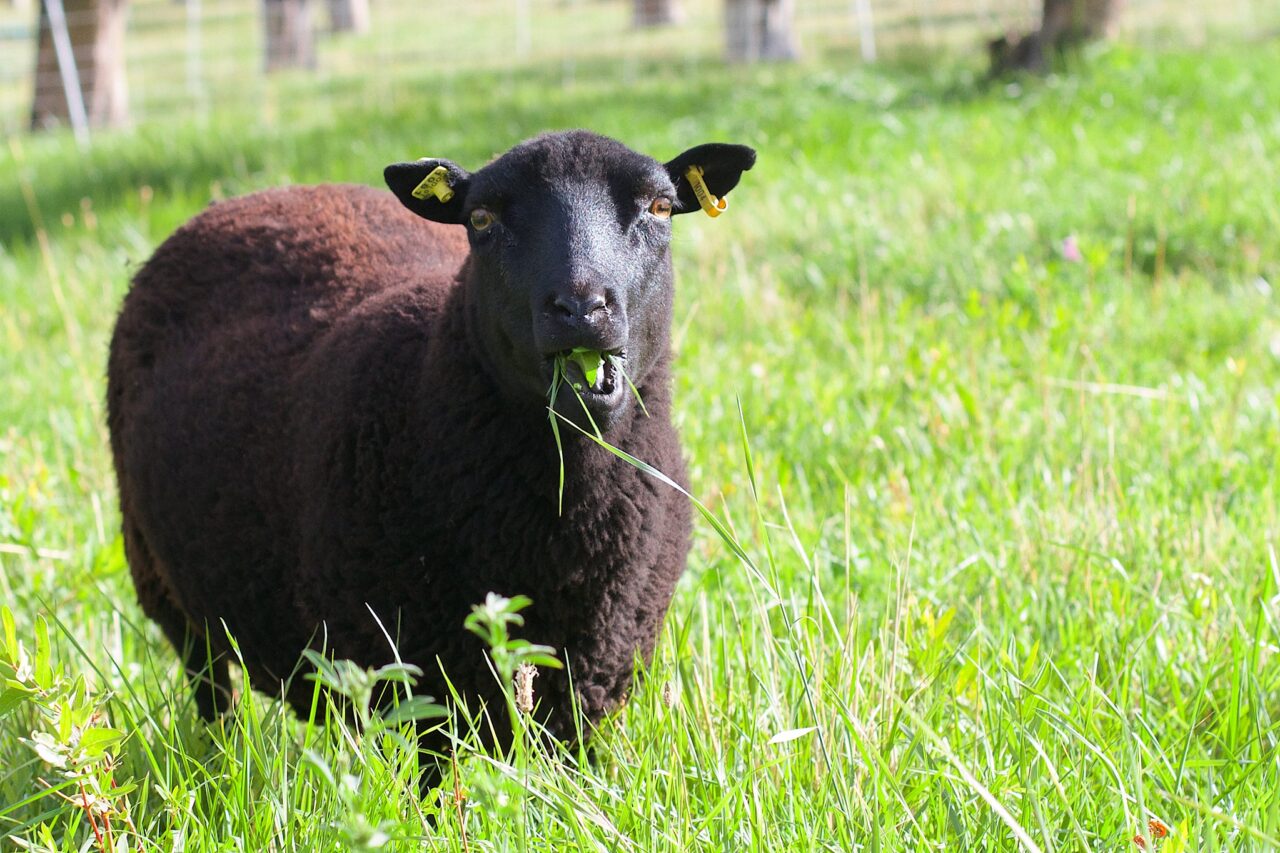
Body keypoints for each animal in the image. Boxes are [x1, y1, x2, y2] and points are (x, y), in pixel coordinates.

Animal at [106, 130, 756, 774]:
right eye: (482, 219)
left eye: (661, 208)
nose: (580, 309)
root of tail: (259, 194)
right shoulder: (414, 687)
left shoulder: (590, 680)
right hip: (168, 588)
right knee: (212, 689)